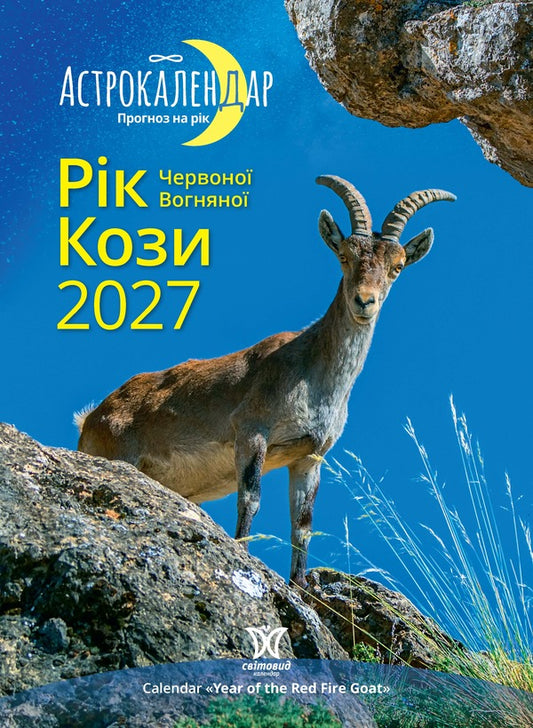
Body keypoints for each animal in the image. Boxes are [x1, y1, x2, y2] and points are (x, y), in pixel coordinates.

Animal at [76, 176, 455, 587]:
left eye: (397, 266)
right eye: (345, 256)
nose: (364, 302)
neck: (314, 375)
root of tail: (92, 418)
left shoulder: (309, 456)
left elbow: (302, 523)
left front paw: (299, 585)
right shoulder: (251, 431)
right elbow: (250, 498)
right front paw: (242, 555)